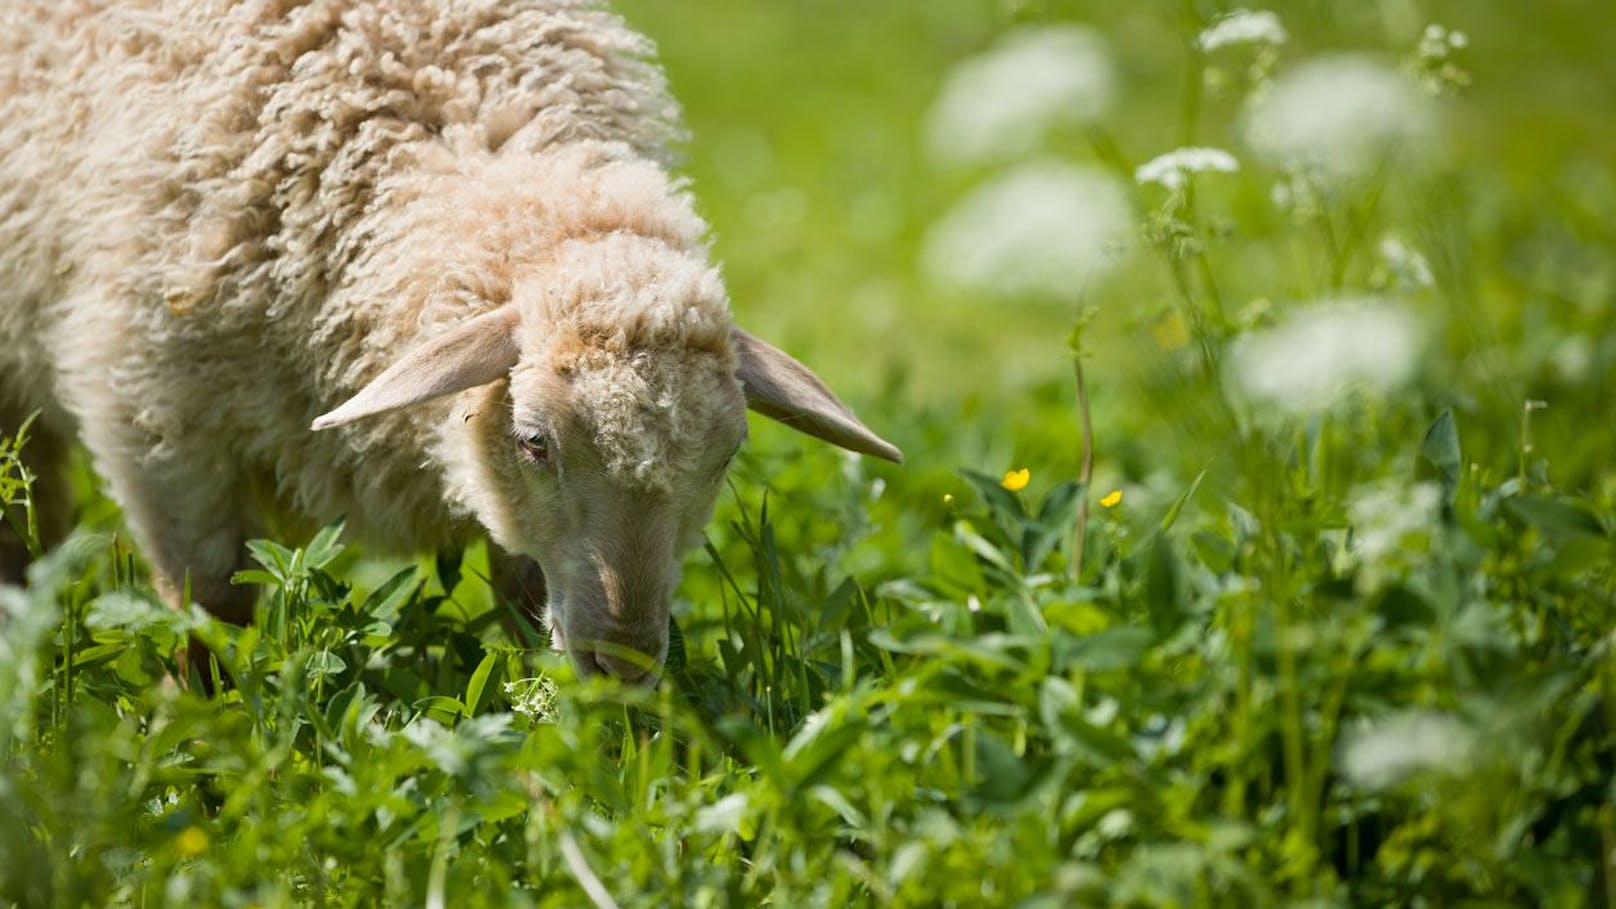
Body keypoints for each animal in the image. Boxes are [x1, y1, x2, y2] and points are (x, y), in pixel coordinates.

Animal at [0, 0, 898, 679]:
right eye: (535, 441)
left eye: (725, 456)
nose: (626, 664)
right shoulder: (155, 418)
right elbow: (209, 617)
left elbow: (524, 587)